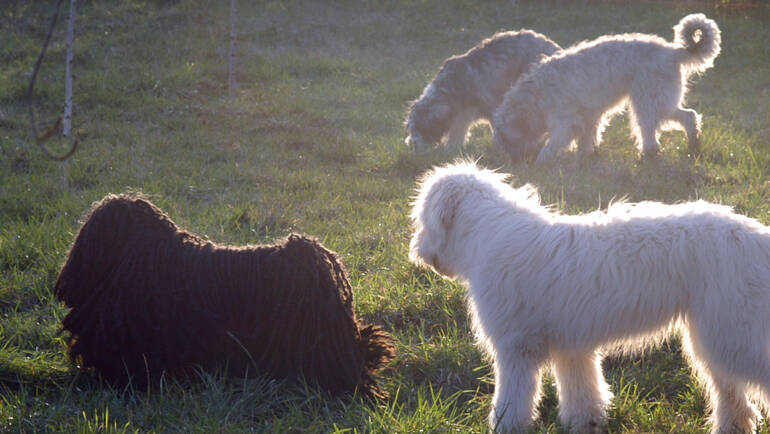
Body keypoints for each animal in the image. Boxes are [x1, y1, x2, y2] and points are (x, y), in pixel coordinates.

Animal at [408, 161, 768, 432]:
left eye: (422, 219)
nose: (418, 252)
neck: (489, 235)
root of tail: (757, 237)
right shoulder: (572, 348)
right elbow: (582, 393)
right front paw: (588, 422)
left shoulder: (516, 348)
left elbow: (513, 400)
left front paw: (505, 427)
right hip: (721, 337)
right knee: (734, 399)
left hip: (733, 335)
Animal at [492, 14, 720, 163]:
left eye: (507, 141)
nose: (515, 163)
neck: (535, 96)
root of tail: (672, 52)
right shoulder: (588, 117)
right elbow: (587, 139)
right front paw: (585, 157)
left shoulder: (567, 123)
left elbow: (552, 146)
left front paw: (541, 162)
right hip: (661, 102)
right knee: (689, 116)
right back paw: (693, 146)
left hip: (648, 103)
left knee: (652, 132)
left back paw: (648, 154)